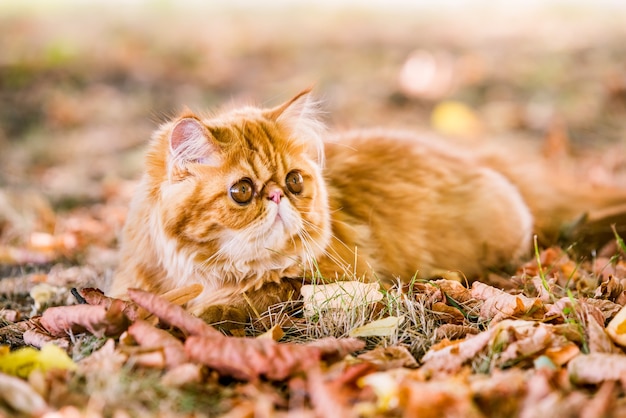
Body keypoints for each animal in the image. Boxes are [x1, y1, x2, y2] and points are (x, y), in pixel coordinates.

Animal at [107, 88, 624, 324]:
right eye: (242, 192)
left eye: (293, 182)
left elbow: (234, 301)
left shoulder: (331, 280)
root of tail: (482, 158)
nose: (277, 196)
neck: (201, 271)